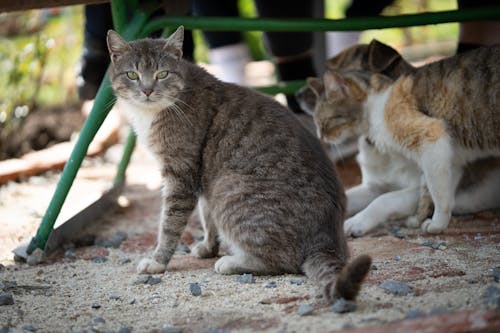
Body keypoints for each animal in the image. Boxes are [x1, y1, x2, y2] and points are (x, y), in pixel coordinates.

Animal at [105, 26, 372, 300]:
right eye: (132, 74)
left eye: (162, 74)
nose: (147, 90)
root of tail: (324, 240)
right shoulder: (204, 179)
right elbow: (207, 216)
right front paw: (208, 247)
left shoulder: (181, 175)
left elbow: (169, 224)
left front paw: (158, 261)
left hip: (230, 190)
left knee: (283, 261)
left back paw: (232, 262)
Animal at [308, 45, 500, 233]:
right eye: (316, 123)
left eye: (324, 122)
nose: (319, 136)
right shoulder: (374, 186)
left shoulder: (432, 139)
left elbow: (393, 199)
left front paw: (436, 223)